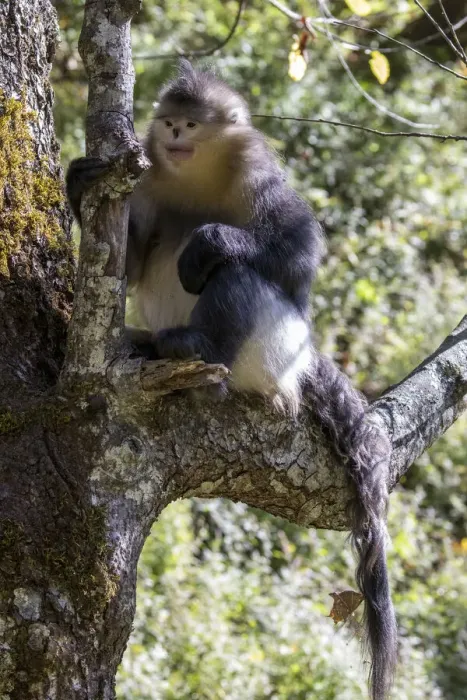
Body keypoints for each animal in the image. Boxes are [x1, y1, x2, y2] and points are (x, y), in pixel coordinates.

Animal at [66, 60, 397, 699]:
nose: (172, 133)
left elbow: (296, 257)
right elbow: (129, 263)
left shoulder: (261, 178)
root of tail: (301, 363)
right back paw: (154, 347)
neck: (198, 174)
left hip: (274, 349)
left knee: (236, 275)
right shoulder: (144, 184)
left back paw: (197, 350)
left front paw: (213, 242)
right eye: (169, 121)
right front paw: (78, 183)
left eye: (191, 123)